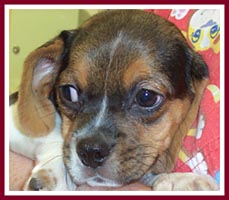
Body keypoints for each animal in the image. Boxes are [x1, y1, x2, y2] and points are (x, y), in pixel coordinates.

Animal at [9, 9, 218, 191]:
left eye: (146, 97)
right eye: (68, 92)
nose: (91, 152)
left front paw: (180, 181)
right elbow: (55, 134)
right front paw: (57, 174)